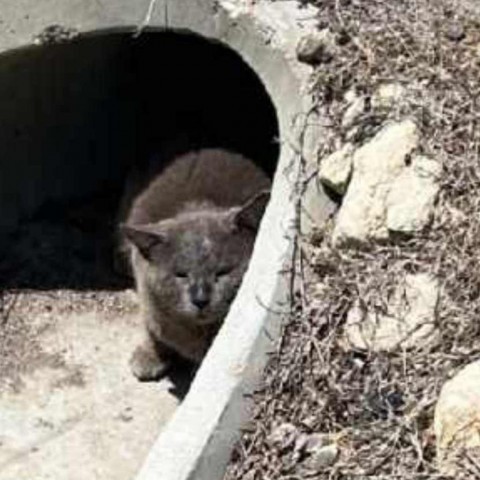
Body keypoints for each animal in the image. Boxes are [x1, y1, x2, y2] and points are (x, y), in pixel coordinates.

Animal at [119, 148, 270, 380]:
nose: (200, 299)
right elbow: (150, 322)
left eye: (223, 272)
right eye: (180, 274)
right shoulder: (143, 285)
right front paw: (150, 354)